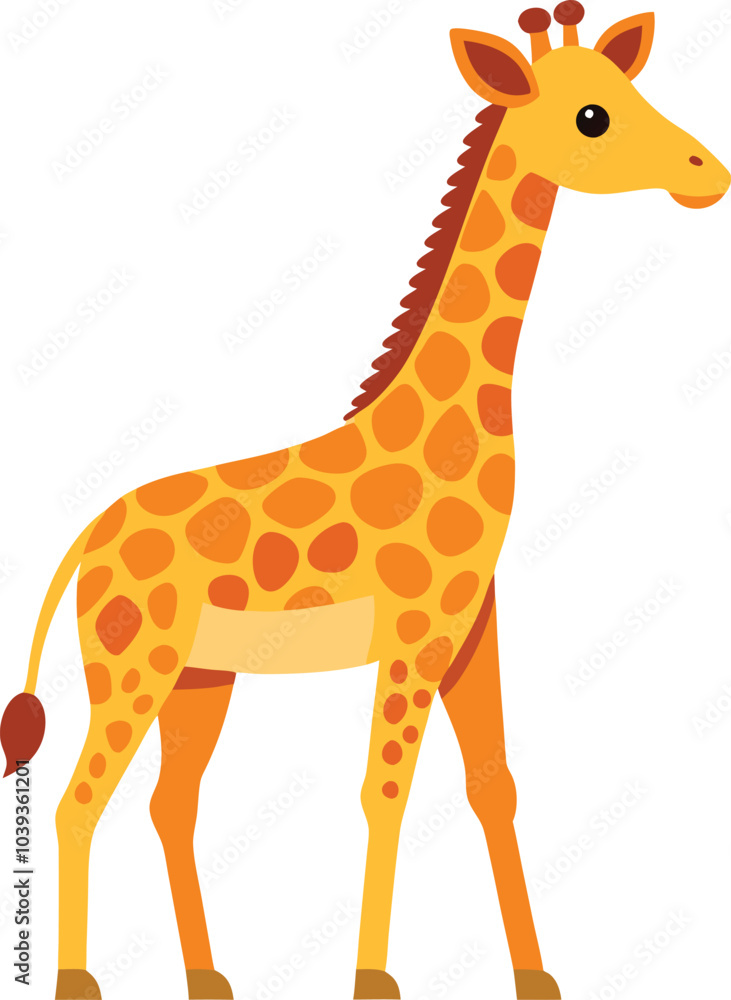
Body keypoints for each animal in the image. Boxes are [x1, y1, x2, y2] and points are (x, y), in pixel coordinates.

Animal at [1, 5, 728, 1000]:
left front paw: (535, 979)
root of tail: (84, 538)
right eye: (592, 117)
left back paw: (210, 979)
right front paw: (374, 982)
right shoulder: (414, 630)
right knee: (79, 801)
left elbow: (492, 785)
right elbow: (386, 795)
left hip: (199, 675)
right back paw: (81, 982)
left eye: (627, 89)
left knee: (168, 803)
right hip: (133, 664)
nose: (708, 174)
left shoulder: (471, 626)